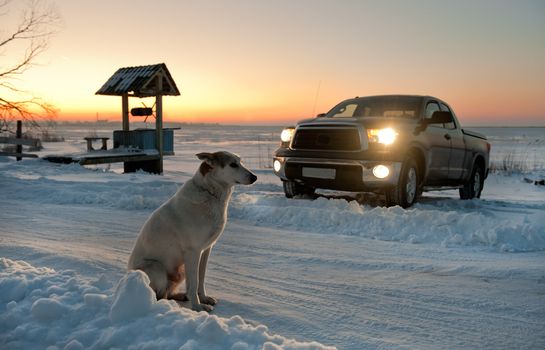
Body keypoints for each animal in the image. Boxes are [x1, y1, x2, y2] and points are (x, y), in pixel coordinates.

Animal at [128, 152, 258, 310]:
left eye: (240, 162)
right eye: (233, 165)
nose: (255, 177)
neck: (210, 193)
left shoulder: (205, 250)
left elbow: (200, 279)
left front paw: (203, 299)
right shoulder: (193, 252)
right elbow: (195, 282)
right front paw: (197, 307)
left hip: (181, 270)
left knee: (169, 292)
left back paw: (181, 296)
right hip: (157, 268)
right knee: (159, 295)